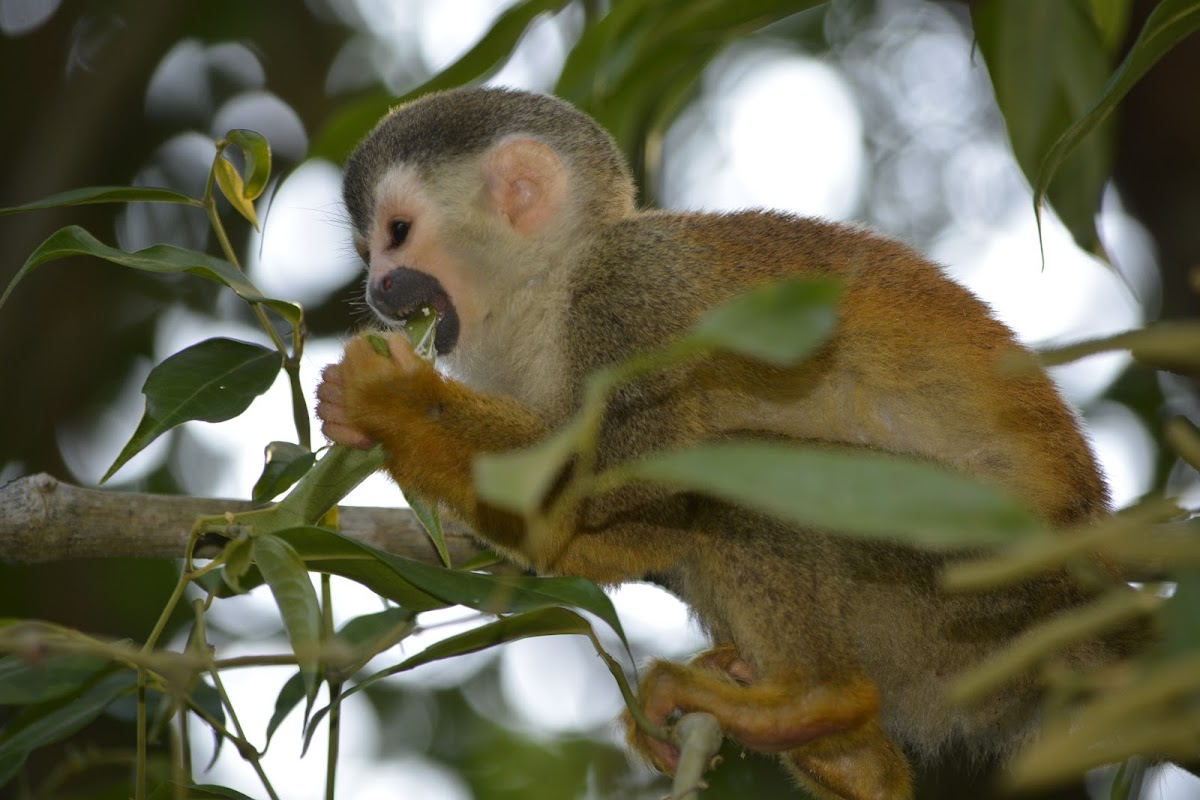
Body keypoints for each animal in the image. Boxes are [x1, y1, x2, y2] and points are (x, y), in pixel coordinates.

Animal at [316, 89, 1132, 800]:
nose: (379, 290)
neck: (551, 285)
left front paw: (389, 404)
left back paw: (815, 699)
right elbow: (584, 527)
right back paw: (850, 760)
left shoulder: (630, 295)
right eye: (366, 249)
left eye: (396, 234)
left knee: (743, 470)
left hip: (971, 590)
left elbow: (619, 495)